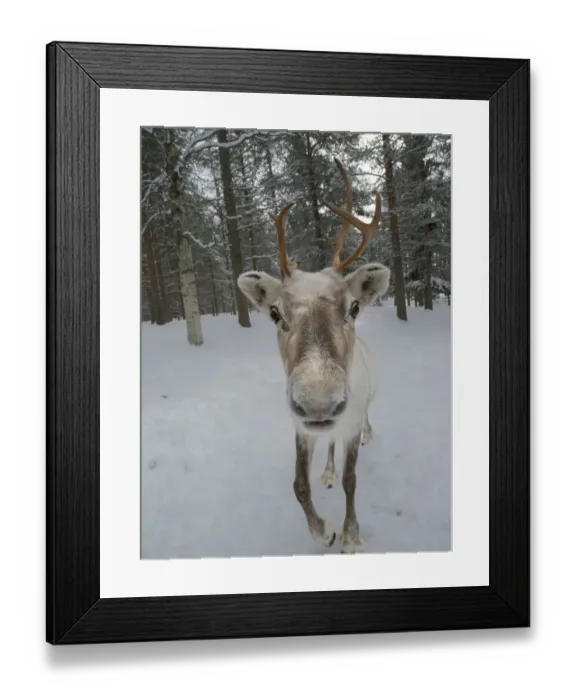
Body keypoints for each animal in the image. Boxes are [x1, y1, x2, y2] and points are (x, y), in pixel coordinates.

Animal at [237, 159, 390, 554]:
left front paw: (350, 537)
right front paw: (324, 531)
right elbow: (298, 485)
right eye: (275, 313)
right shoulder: (301, 427)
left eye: (354, 307)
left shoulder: (350, 420)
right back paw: (328, 471)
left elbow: (352, 480)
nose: (319, 405)